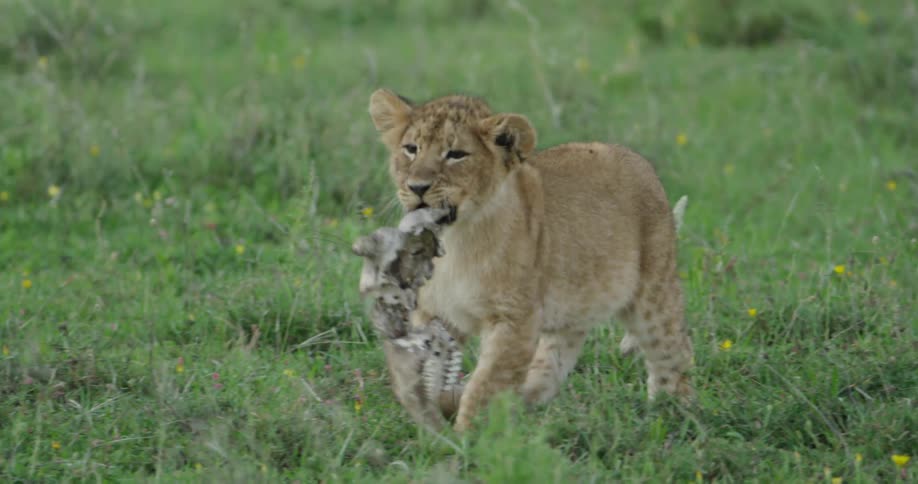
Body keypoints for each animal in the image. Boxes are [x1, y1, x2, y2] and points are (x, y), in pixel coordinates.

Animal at [369, 89, 694, 431]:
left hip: (653, 294)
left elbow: (487, 384)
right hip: (572, 311)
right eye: (411, 149)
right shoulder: (435, 312)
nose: (416, 187)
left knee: (674, 349)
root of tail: (642, 163)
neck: (455, 242)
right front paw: (432, 415)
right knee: (548, 368)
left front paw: (468, 437)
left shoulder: (515, 319)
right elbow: (426, 369)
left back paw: (671, 412)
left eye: (456, 154)